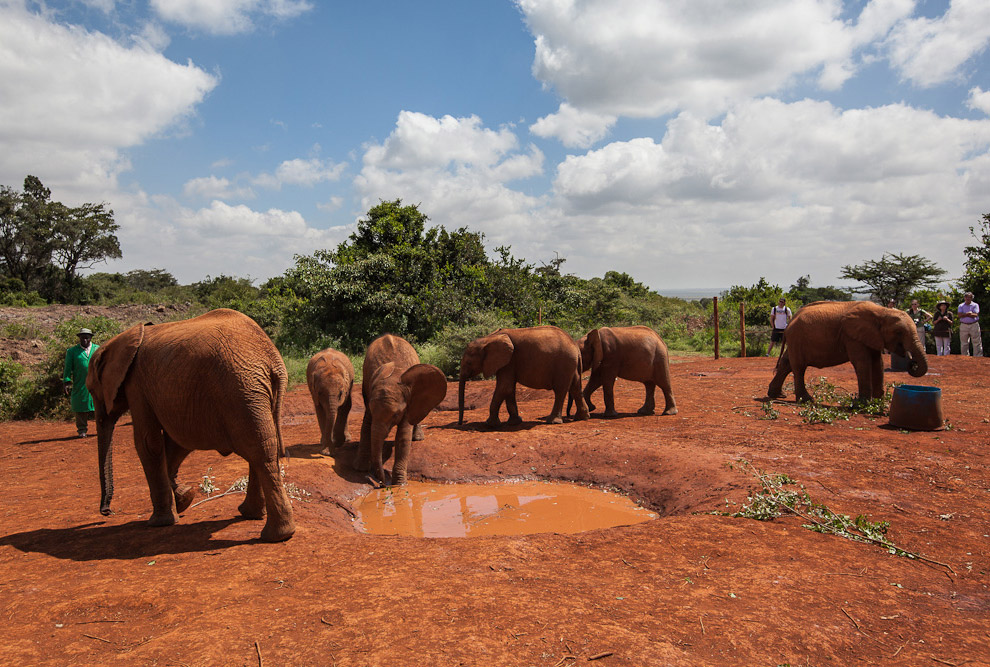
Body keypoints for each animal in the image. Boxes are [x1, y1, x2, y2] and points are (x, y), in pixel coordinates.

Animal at [88, 308, 294, 544]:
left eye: (91, 390)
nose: (106, 512)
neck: (121, 339)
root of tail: (272, 358)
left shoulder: (136, 385)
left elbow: (148, 443)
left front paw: (159, 522)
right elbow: (175, 444)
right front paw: (184, 499)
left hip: (240, 390)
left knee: (259, 451)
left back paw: (275, 534)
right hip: (253, 392)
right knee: (263, 446)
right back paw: (254, 517)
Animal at [358, 334, 448, 486]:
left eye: (396, 414)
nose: (382, 484)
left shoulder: (407, 401)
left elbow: (403, 436)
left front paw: (399, 484)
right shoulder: (369, 393)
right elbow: (367, 425)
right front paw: (361, 468)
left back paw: (417, 438)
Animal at [460, 324, 588, 428]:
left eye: (469, 363)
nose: (460, 423)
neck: (488, 338)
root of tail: (575, 346)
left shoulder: (509, 362)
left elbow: (504, 388)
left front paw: (490, 424)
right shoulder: (509, 363)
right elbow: (509, 389)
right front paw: (514, 422)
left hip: (564, 363)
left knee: (560, 390)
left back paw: (552, 421)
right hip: (571, 364)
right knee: (575, 387)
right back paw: (581, 418)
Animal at [768, 302, 928, 404]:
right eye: (899, 332)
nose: (912, 362)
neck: (882, 312)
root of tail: (790, 322)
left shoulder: (872, 337)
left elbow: (878, 363)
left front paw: (878, 403)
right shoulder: (852, 336)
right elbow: (862, 362)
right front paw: (862, 404)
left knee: (786, 364)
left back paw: (777, 395)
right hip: (797, 339)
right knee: (799, 368)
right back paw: (807, 400)